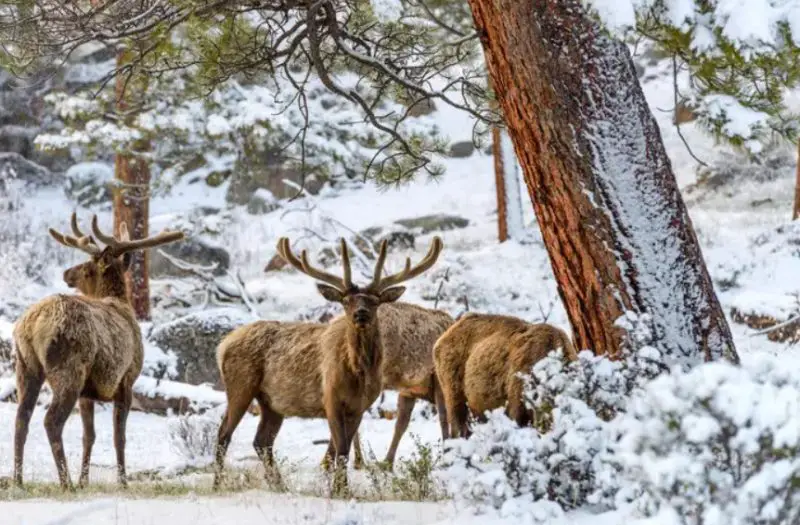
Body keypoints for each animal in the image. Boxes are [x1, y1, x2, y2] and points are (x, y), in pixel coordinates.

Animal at [12, 212, 184, 489]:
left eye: (86, 267)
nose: (66, 272)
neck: (121, 303)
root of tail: (32, 324)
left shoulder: (88, 393)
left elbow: (88, 435)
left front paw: (85, 481)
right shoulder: (126, 380)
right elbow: (118, 436)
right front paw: (122, 482)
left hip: (26, 367)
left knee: (21, 419)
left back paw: (19, 480)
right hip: (68, 369)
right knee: (51, 421)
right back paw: (66, 483)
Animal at [213, 235, 443, 492]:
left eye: (375, 301)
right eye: (346, 300)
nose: (361, 314)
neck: (359, 375)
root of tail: (222, 346)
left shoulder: (359, 406)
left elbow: (343, 448)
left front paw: (340, 488)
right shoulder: (330, 399)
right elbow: (341, 448)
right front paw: (340, 490)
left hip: (272, 402)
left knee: (262, 441)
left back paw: (280, 487)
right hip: (240, 386)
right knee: (223, 434)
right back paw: (218, 484)